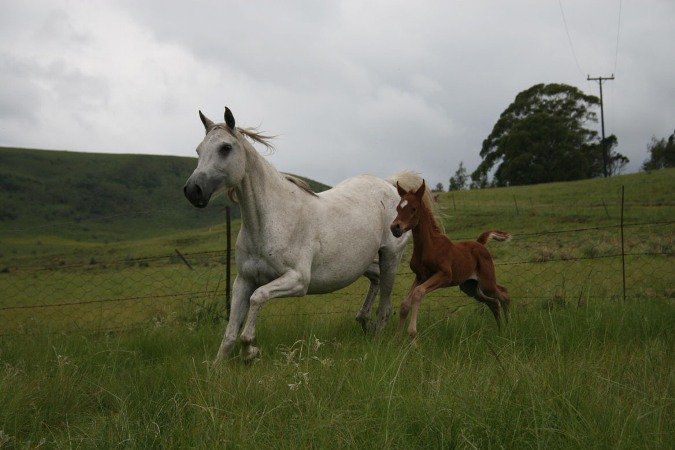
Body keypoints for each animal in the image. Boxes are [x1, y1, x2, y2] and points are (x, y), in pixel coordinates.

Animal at [186, 108, 422, 362]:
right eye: (198, 149)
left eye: (225, 148)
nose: (192, 190)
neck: (272, 220)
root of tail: (389, 184)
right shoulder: (244, 280)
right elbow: (230, 332)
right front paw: (218, 366)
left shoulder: (298, 281)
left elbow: (257, 298)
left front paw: (250, 350)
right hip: (363, 262)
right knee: (375, 279)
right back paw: (362, 319)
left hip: (391, 258)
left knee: (385, 307)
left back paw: (377, 341)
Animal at [390, 181, 512, 340]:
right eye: (398, 207)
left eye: (414, 208)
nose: (395, 228)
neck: (429, 245)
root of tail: (480, 244)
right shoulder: (421, 276)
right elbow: (405, 303)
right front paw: (397, 339)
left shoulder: (445, 275)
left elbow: (418, 293)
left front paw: (412, 335)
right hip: (470, 287)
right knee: (494, 303)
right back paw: (501, 331)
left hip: (487, 282)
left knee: (504, 295)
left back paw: (510, 328)